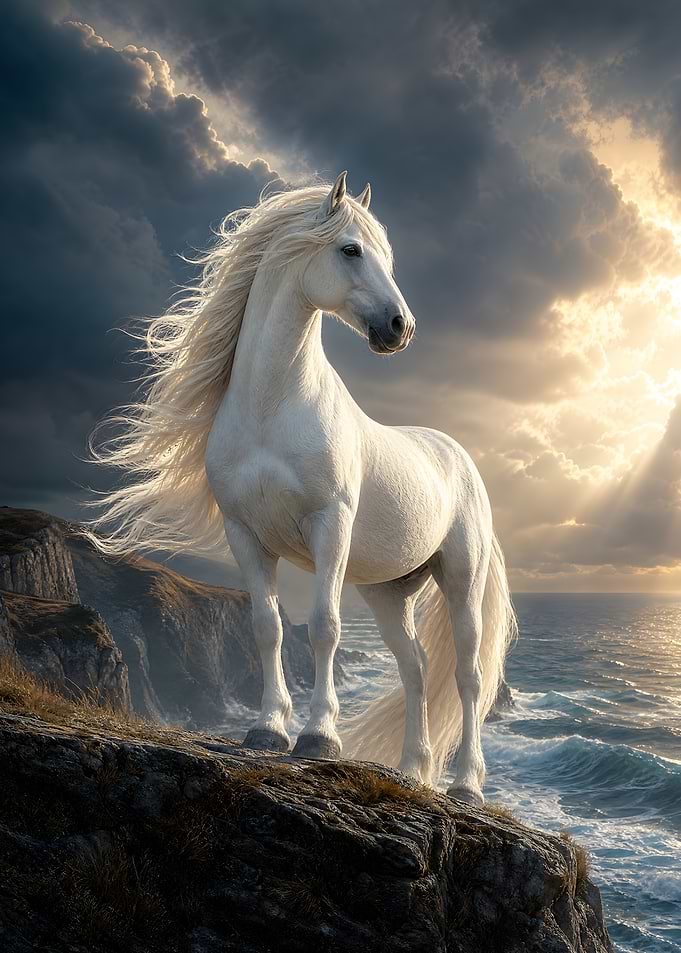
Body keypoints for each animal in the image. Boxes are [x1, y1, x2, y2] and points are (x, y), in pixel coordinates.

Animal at [89, 171, 516, 805]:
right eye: (351, 250)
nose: (401, 328)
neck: (274, 406)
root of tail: (458, 456)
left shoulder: (328, 525)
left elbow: (323, 628)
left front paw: (319, 739)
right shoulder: (245, 534)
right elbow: (267, 628)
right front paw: (268, 730)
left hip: (461, 577)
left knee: (467, 676)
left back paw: (465, 785)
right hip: (389, 592)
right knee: (415, 669)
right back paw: (414, 771)